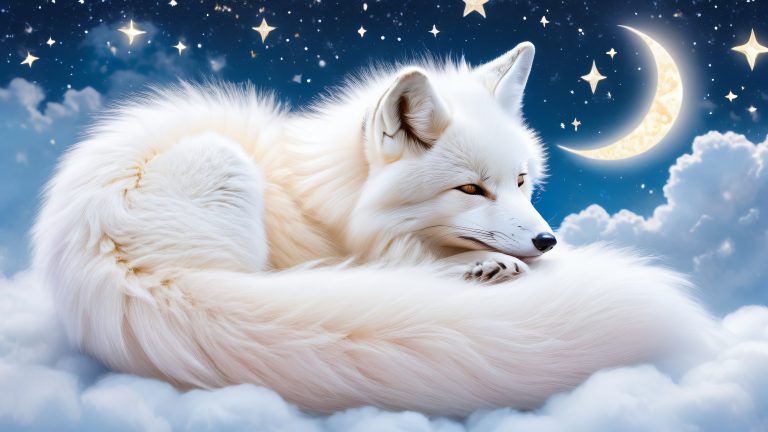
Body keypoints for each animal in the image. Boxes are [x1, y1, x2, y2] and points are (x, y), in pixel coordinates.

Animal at [33, 42, 714, 416]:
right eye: (471, 189)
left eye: (521, 181)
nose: (548, 241)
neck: (321, 197)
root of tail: (120, 266)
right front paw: (474, 266)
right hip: (222, 164)